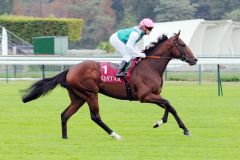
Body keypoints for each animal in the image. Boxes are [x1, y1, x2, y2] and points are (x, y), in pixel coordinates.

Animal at [22, 31, 197, 140]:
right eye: (182, 44)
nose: (195, 60)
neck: (150, 66)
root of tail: (70, 69)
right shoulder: (145, 96)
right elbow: (168, 103)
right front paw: (164, 123)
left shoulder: (154, 95)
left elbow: (170, 106)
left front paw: (177, 127)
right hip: (90, 93)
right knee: (95, 116)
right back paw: (116, 135)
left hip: (78, 97)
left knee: (65, 115)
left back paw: (65, 138)